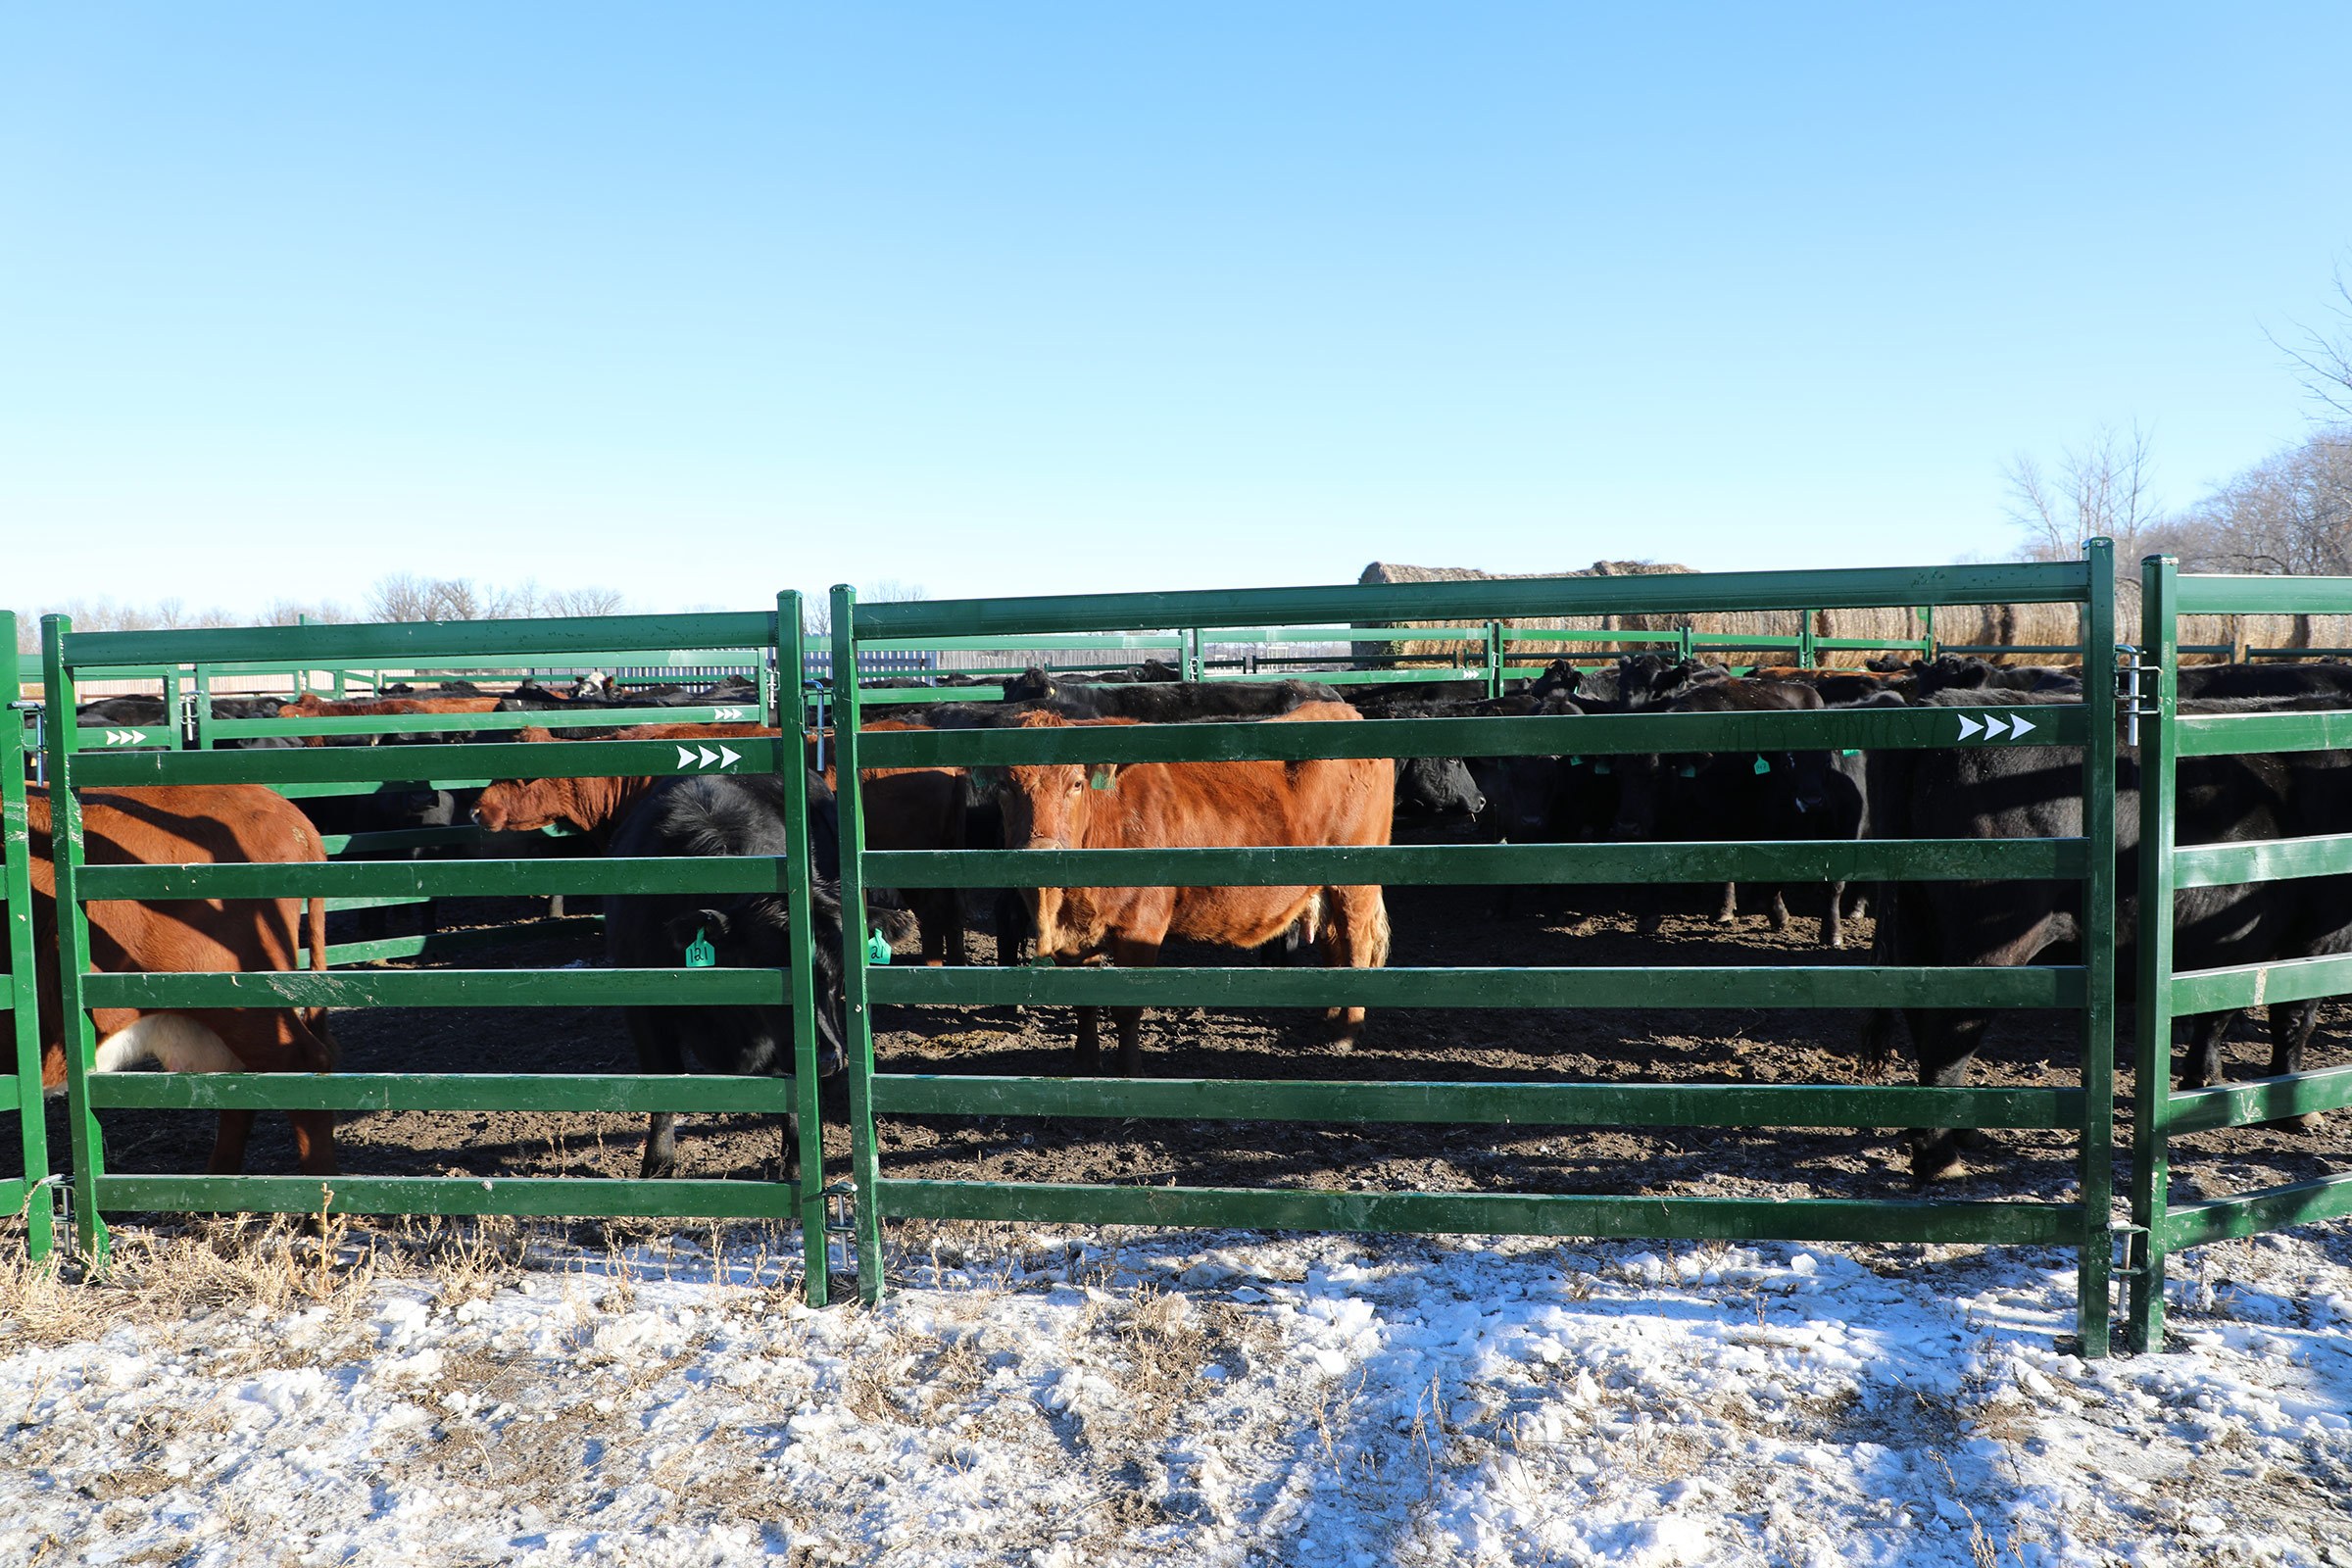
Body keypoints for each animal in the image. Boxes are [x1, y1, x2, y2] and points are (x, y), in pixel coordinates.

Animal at [988, 700, 1383, 1081]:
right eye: (1005, 785)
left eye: (1075, 784)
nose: (1040, 850)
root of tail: (1337, 709)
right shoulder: (1077, 935)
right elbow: (1083, 1004)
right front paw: (1084, 1066)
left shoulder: (1141, 928)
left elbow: (1126, 1009)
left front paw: (1130, 1071)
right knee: (1335, 941)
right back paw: (1330, 1017)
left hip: (1355, 882)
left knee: (1357, 941)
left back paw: (1347, 1030)